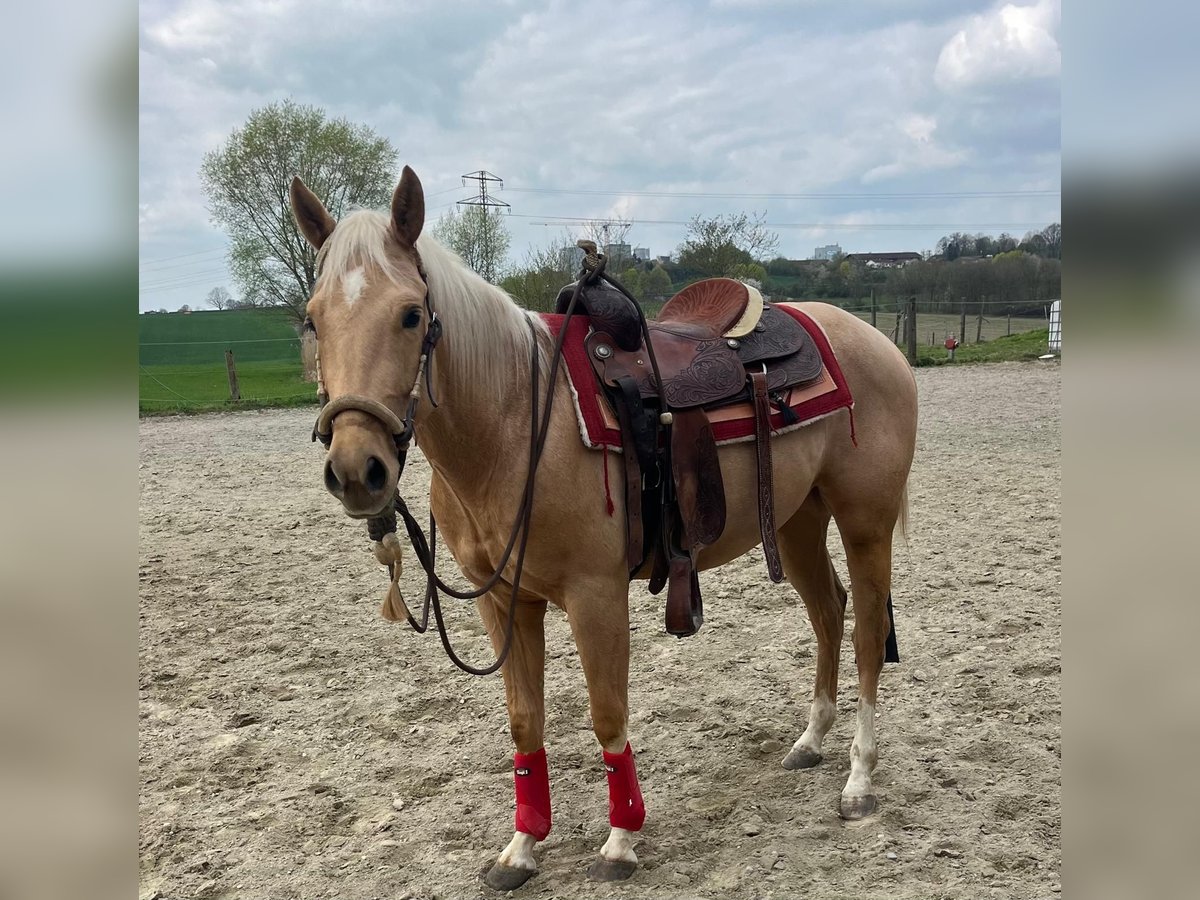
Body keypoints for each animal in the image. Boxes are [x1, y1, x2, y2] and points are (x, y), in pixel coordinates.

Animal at [289, 166, 917, 890]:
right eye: (312, 319)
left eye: (411, 314)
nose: (356, 469)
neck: (515, 424)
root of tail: (876, 342)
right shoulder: (505, 603)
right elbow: (524, 722)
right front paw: (523, 847)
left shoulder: (595, 595)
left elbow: (607, 715)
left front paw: (621, 839)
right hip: (796, 519)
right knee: (828, 613)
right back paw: (811, 742)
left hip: (864, 523)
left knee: (867, 632)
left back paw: (859, 780)